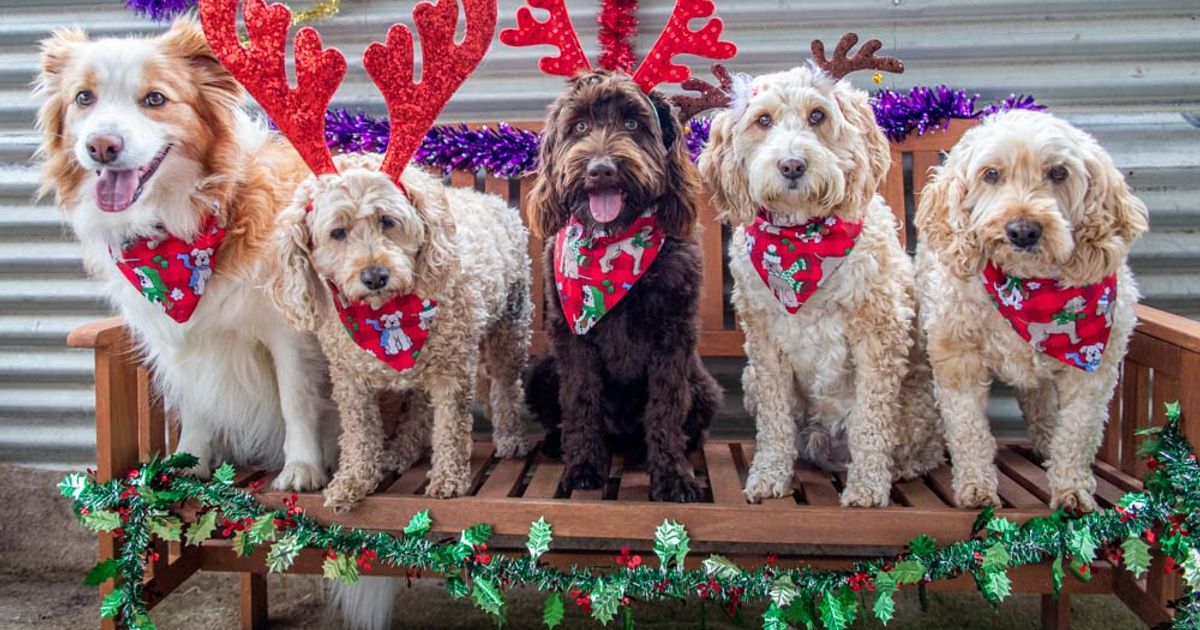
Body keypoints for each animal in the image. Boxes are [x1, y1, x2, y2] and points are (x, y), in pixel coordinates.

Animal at [34, 15, 333, 487]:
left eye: (155, 99)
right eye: (83, 97)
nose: (101, 145)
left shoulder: (288, 330)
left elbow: (296, 400)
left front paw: (302, 468)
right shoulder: (177, 336)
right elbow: (196, 401)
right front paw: (189, 462)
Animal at [274, 153, 532, 511]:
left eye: (387, 221)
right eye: (338, 232)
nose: (375, 275)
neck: (385, 312)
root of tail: (494, 200)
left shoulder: (453, 369)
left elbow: (451, 425)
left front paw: (449, 479)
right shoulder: (349, 377)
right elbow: (359, 432)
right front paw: (352, 480)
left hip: (510, 328)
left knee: (507, 385)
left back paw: (511, 437)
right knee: (421, 405)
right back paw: (402, 450)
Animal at [700, 65, 940, 506]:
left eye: (818, 115)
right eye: (763, 120)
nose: (793, 165)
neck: (801, 241)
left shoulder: (879, 334)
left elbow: (870, 423)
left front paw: (867, 487)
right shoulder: (764, 343)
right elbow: (775, 423)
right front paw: (768, 476)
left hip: (916, 404)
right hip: (751, 381)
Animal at [916, 109, 1152, 511]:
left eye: (1058, 173)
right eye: (990, 174)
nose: (1023, 230)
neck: (1027, 288)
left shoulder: (1094, 370)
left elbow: (1078, 431)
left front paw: (1072, 488)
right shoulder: (957, 354)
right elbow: (968, 427)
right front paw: (976, 486)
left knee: (1040, 401)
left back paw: (1046, 441)